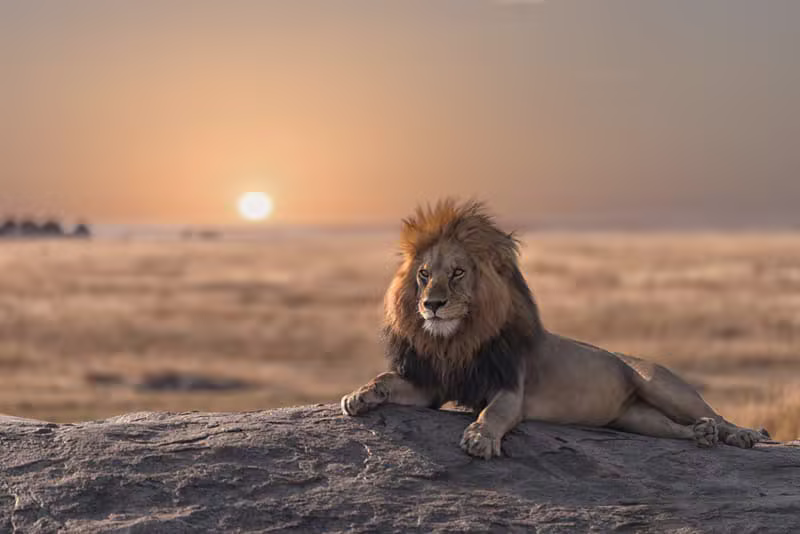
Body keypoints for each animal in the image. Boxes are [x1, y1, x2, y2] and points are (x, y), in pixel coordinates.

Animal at [341, 199, 768, 459]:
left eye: (458, 273)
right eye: (425, 275)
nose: (432, 304)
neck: (457, 340)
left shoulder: (510, 388)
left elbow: (493, 413)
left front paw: (480, 438)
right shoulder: (432, 385)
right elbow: (387, 379)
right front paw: (359, 396)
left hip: (661, 385)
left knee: (714, 414)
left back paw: (740, 434)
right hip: (634, 418)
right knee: (674, 428)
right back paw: (699, 436)